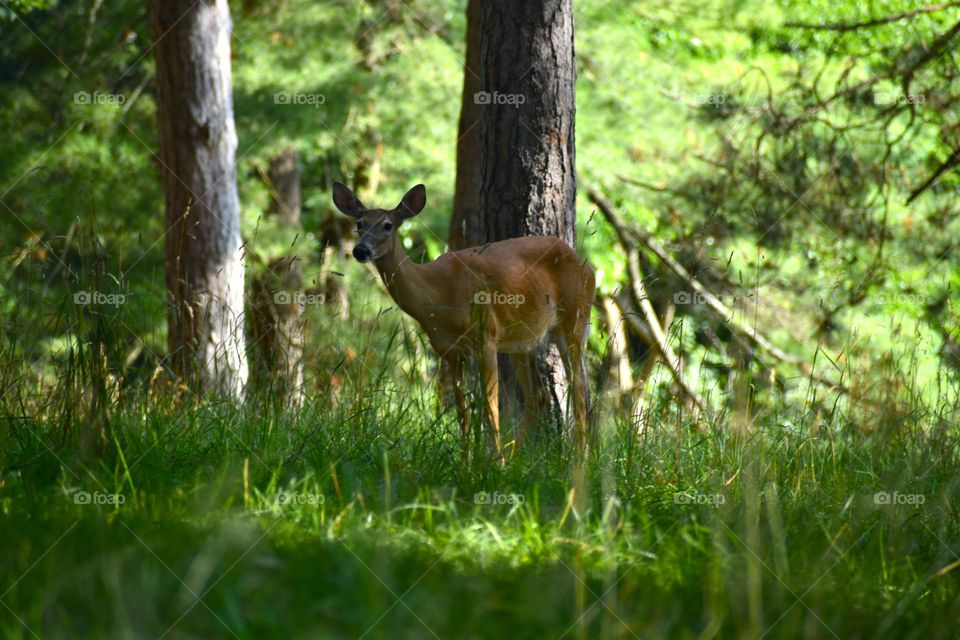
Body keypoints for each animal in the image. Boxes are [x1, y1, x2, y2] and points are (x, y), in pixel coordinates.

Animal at [332, 181, 596, 456]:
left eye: (387, 225)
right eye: (359, 223)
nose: (360, 250)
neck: (437, 294)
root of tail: (585, 263)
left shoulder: (486, 336)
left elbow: (490, 408)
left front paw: (493, 463)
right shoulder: (447, 349)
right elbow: (462, 411)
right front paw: (468, 460)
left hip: (574, 321)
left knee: (580, 394)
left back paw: (578, 459)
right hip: (523, 341)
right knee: (538, 397)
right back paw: (514, 454)